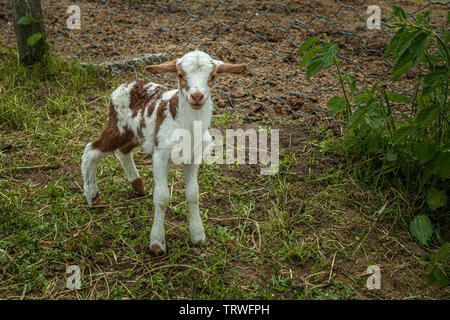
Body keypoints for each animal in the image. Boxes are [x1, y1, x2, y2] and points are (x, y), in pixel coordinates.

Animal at [81, 50, 246, 255]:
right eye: (180, 75)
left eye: (213, 76)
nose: (197, 97)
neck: (186, 125)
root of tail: (126, 84)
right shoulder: (160, 155)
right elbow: (161, 198)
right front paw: (157, 243)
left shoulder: (193, 157)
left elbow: (193, 194)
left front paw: (198, 235)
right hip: (117, 126)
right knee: (91, 151)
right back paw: (93, 197)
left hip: (137, 134)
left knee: (123, 151)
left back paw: (137, 185)